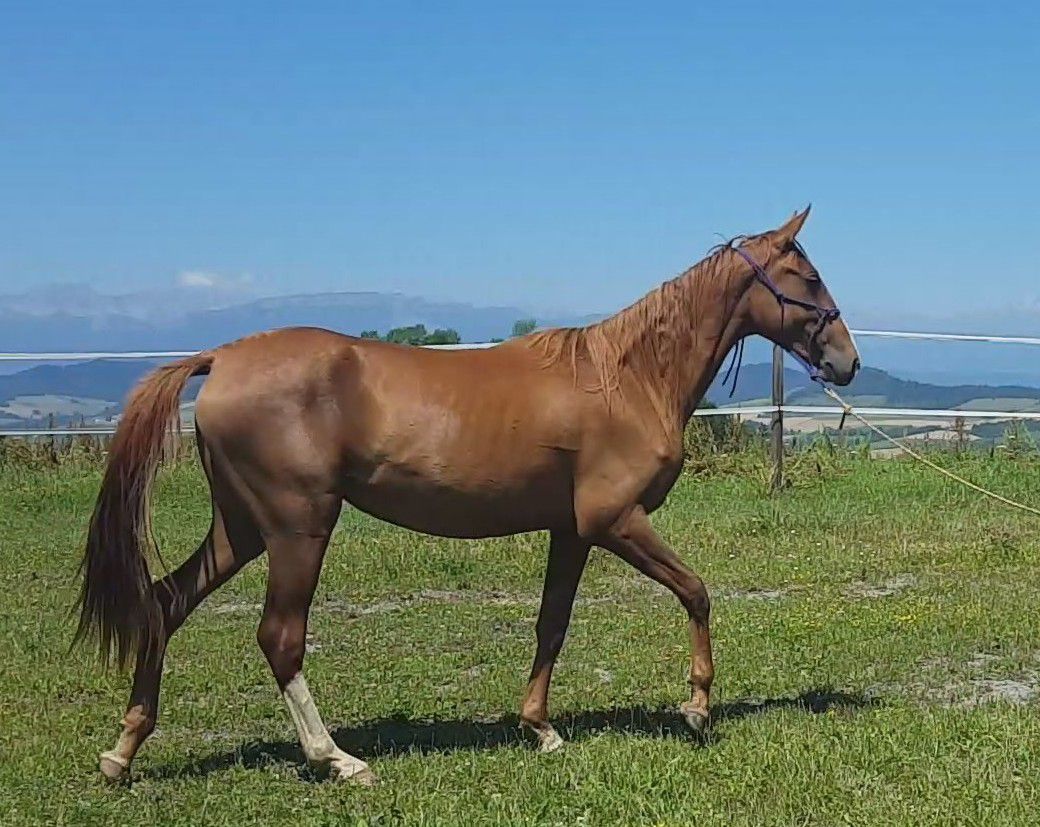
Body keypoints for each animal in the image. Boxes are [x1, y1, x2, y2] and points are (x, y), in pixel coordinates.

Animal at [76, 207, 859, 785]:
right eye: (809, 276)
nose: (847, 361)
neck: (629, 377)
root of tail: (221, 358)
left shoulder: (572, 530)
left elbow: (552, 624)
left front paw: (541, 728)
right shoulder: (615, 520)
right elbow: (696, 591)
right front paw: (696, 707)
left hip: (242, 527)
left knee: (165, 602)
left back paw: (123, 750)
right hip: (299, 528)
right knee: (279, 637)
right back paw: (336, 758)